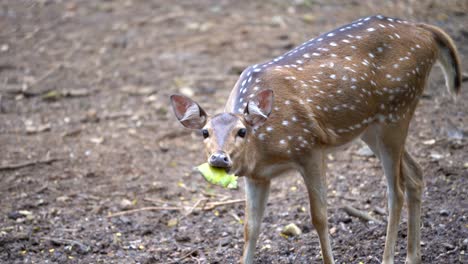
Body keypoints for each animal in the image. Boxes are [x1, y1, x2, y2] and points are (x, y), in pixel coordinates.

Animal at [169, 14, 460, 264]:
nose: (219, 158)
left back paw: (388, 258)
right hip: (373, 128)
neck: (265, 151)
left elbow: (319, 217)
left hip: (398, 110)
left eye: (242, 131)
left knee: (395, 190)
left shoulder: (310, 148)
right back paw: (413, 256)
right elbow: (250, 227)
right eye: (204, 132)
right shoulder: (257, 177)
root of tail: (426, 31)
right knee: (415, 174)